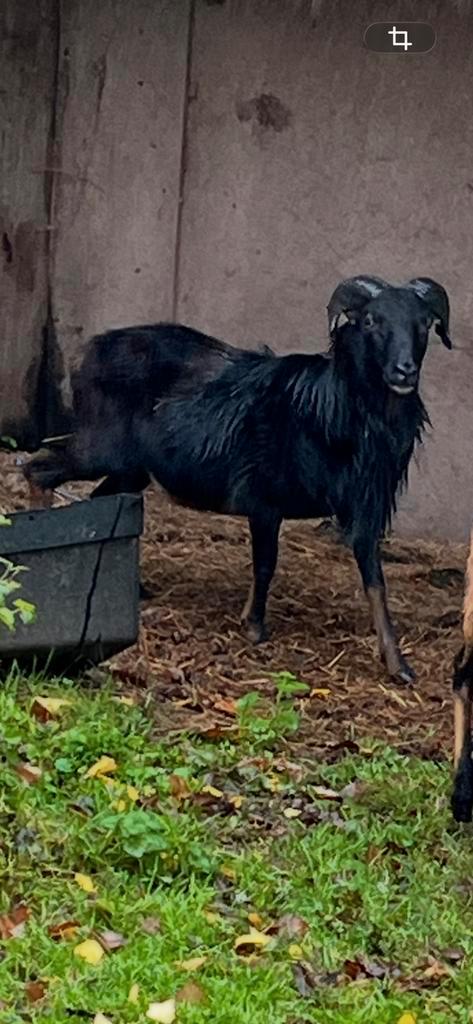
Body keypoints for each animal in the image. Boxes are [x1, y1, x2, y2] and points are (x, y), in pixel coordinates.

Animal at [24, 275, 452, 682]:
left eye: (424, 324)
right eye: (370, 320)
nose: (404, 371)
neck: (330, 408)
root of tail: (88, 352)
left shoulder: (366, 511)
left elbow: (376, 583)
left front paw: (399, 666)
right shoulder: (265, 502)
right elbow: (265, 564)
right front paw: (254, 627)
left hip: (131, 469)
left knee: (98, 498)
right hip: (99, 449)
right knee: (37, 471)